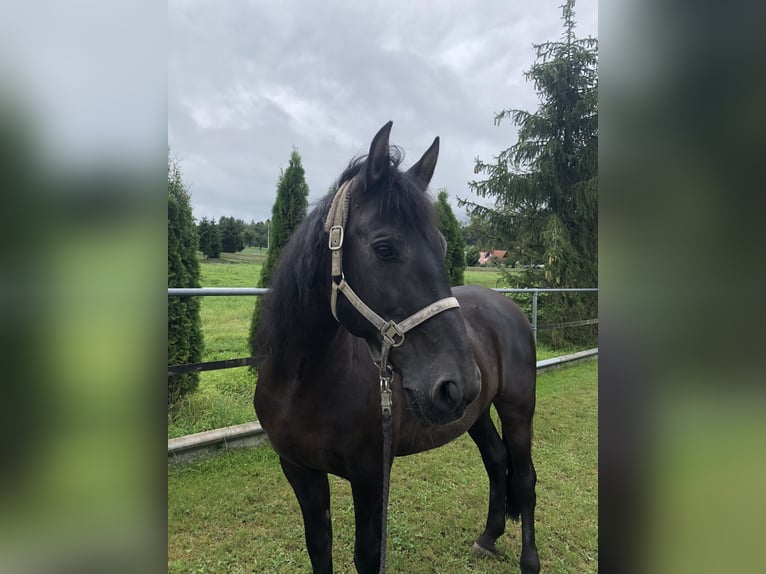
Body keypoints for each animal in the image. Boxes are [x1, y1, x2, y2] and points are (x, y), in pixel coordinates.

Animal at [254, 122, 540, 574]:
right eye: (384, 247)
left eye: (442, 246)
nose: (456, 382)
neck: (302, 382)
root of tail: (506, 305)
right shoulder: (299, 470)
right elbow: (319, 545)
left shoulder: (372, 475)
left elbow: (368, 555)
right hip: (474, 412)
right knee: (496, 460)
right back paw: (487, 538)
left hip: (517, 408)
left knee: (525, 479)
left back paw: (529, 560)